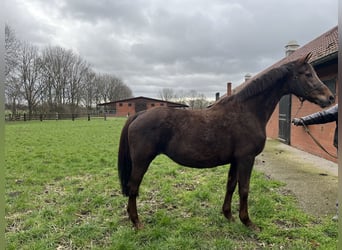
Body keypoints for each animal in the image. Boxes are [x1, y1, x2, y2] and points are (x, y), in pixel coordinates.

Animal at [117, 53, 334, 230]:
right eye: (307, 74)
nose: (330, 98)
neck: (247, 111)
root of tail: (139, 114)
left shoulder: (236, 160)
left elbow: (231, 185)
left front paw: (229, 215)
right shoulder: (247, 159)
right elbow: (244, 189)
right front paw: (248, 222)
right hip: (142, 161)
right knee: (133, 187)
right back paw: (137, 222)